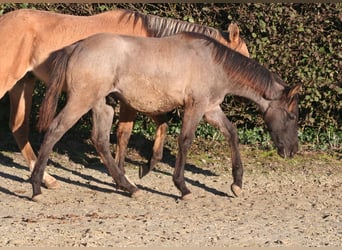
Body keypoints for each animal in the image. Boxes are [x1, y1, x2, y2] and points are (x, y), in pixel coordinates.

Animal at [0, 7, 250, 188]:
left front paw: (144, 167)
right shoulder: (130, 100)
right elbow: (124, 133)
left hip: (24, 83)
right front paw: (124, 177)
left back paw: (47, 179)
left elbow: (160, 124)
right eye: (240, 56)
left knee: (18, 127)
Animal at [31, 32, 300, 201]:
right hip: (81, 101)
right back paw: (36, 186)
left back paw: (129, 187)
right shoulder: (195, 107)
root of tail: (76, 46)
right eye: (292, 116)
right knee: (55, 130)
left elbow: (232, 133)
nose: (292, 150)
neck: (214, 64)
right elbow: (185, 141)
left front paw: (236, 184)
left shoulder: (211, 109)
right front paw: (183, 187)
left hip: (102, 105)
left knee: (100, 141)